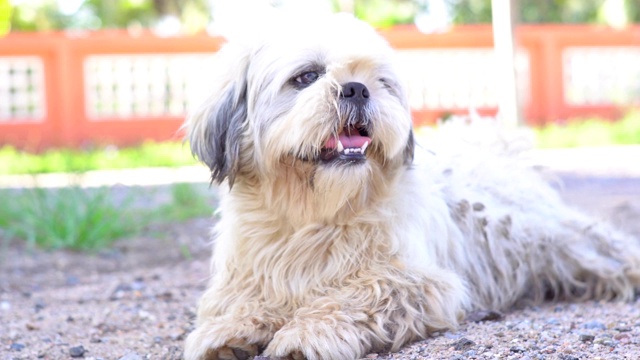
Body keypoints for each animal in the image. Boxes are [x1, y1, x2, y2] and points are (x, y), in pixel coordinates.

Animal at [181, 12, 640, 358]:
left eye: (379, 81)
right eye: (306, 76)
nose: (356, 88)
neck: (312, 216)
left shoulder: (422, 283)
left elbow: (359, 294)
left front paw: (306, 333)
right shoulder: (243, 277)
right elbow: (236, 302)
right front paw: (229, 330)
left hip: (574, 245)